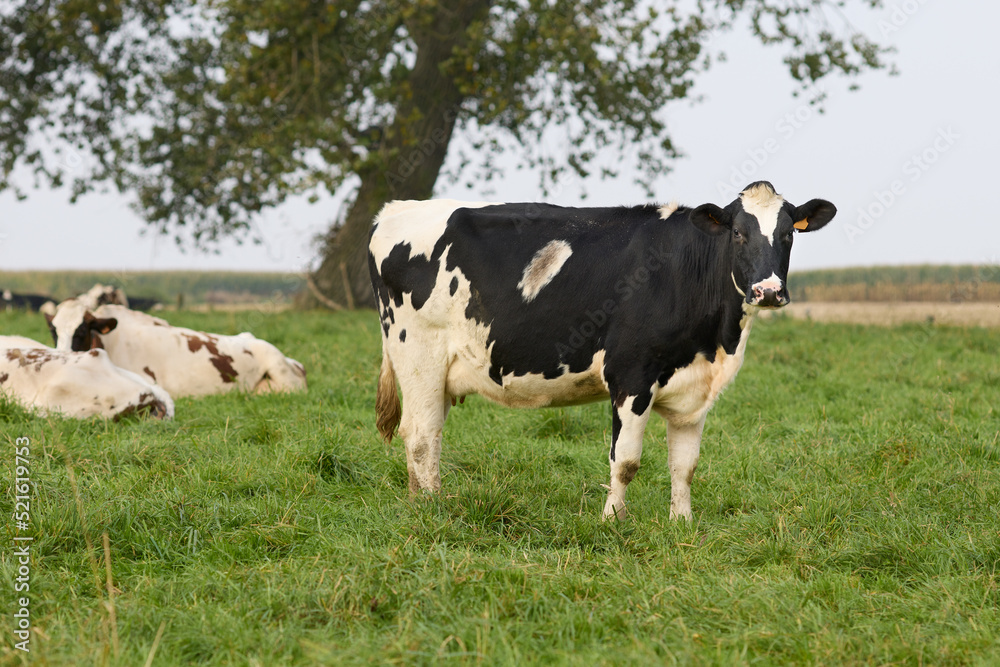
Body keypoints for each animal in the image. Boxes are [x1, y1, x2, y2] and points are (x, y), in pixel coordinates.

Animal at [368, 181, 836, 520]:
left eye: (788, 234)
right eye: (738, 233)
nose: (768, 291)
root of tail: (394, 210)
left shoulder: (694, 389)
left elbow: (685, 465)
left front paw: (682, 523)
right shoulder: (631, 375)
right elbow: (625, 461)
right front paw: (612, 520)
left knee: (425, 437)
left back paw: (419, 501)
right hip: (419, 356)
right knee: (422, 436)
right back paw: (433, 509)